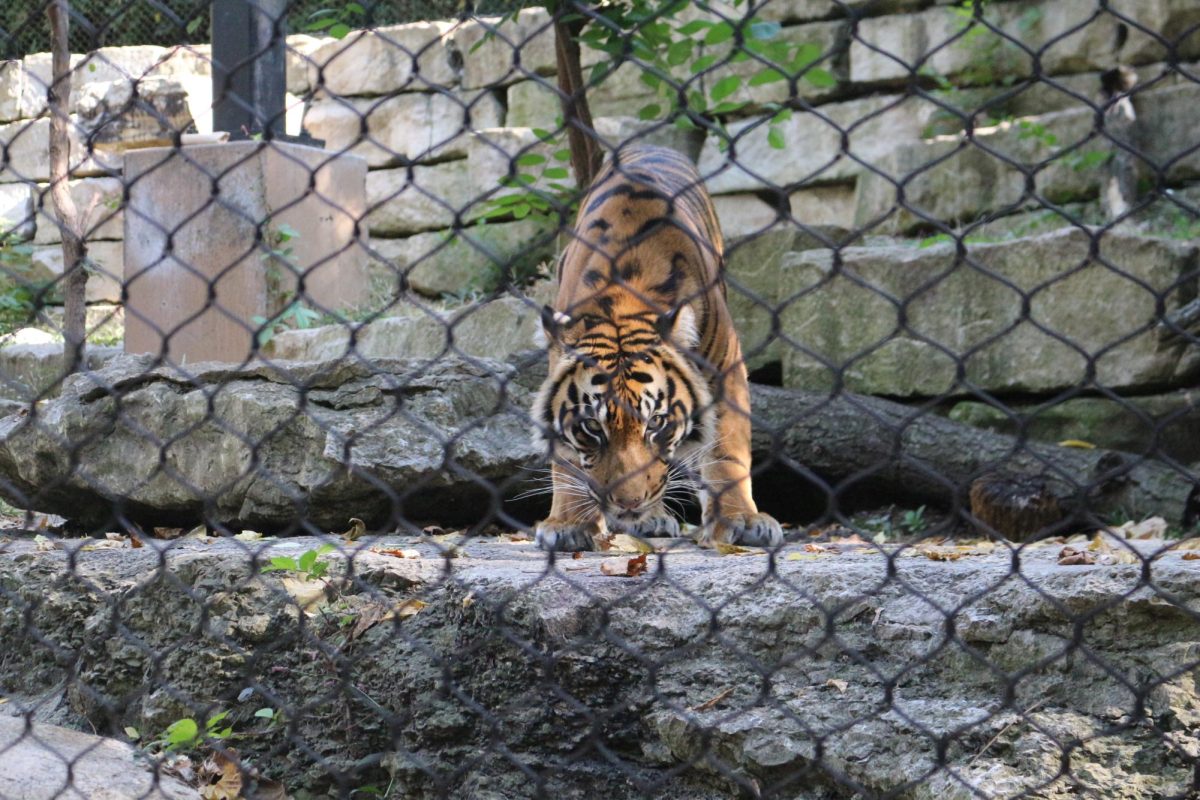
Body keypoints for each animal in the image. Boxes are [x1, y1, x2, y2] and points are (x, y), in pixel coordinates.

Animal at [530, 143, 782, 554]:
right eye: (591, 426)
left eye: (657, 422)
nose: (628, 503)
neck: (624, 295)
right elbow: (566, 460)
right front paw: (568, 524)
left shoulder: (725, 365)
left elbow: (726, 448)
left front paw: (742, 521)